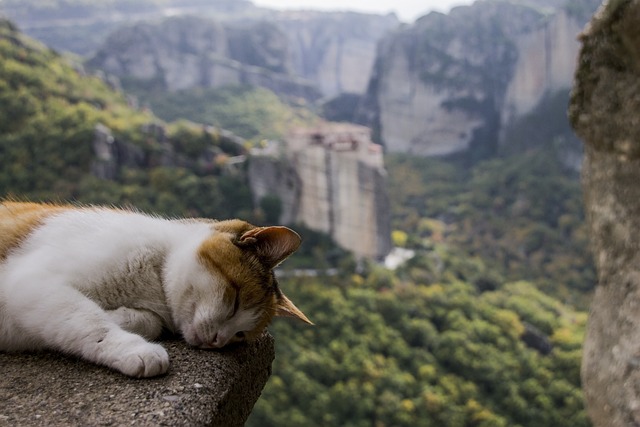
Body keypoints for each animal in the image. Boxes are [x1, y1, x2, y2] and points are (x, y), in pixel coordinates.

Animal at [0, 201, 310, 378]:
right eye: (234, 301)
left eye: (240, 335)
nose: (217, 342)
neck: (152, 287)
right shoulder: (30, 282)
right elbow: (88, 320)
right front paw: (135, 349)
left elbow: (147, 321)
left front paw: (120, 317)